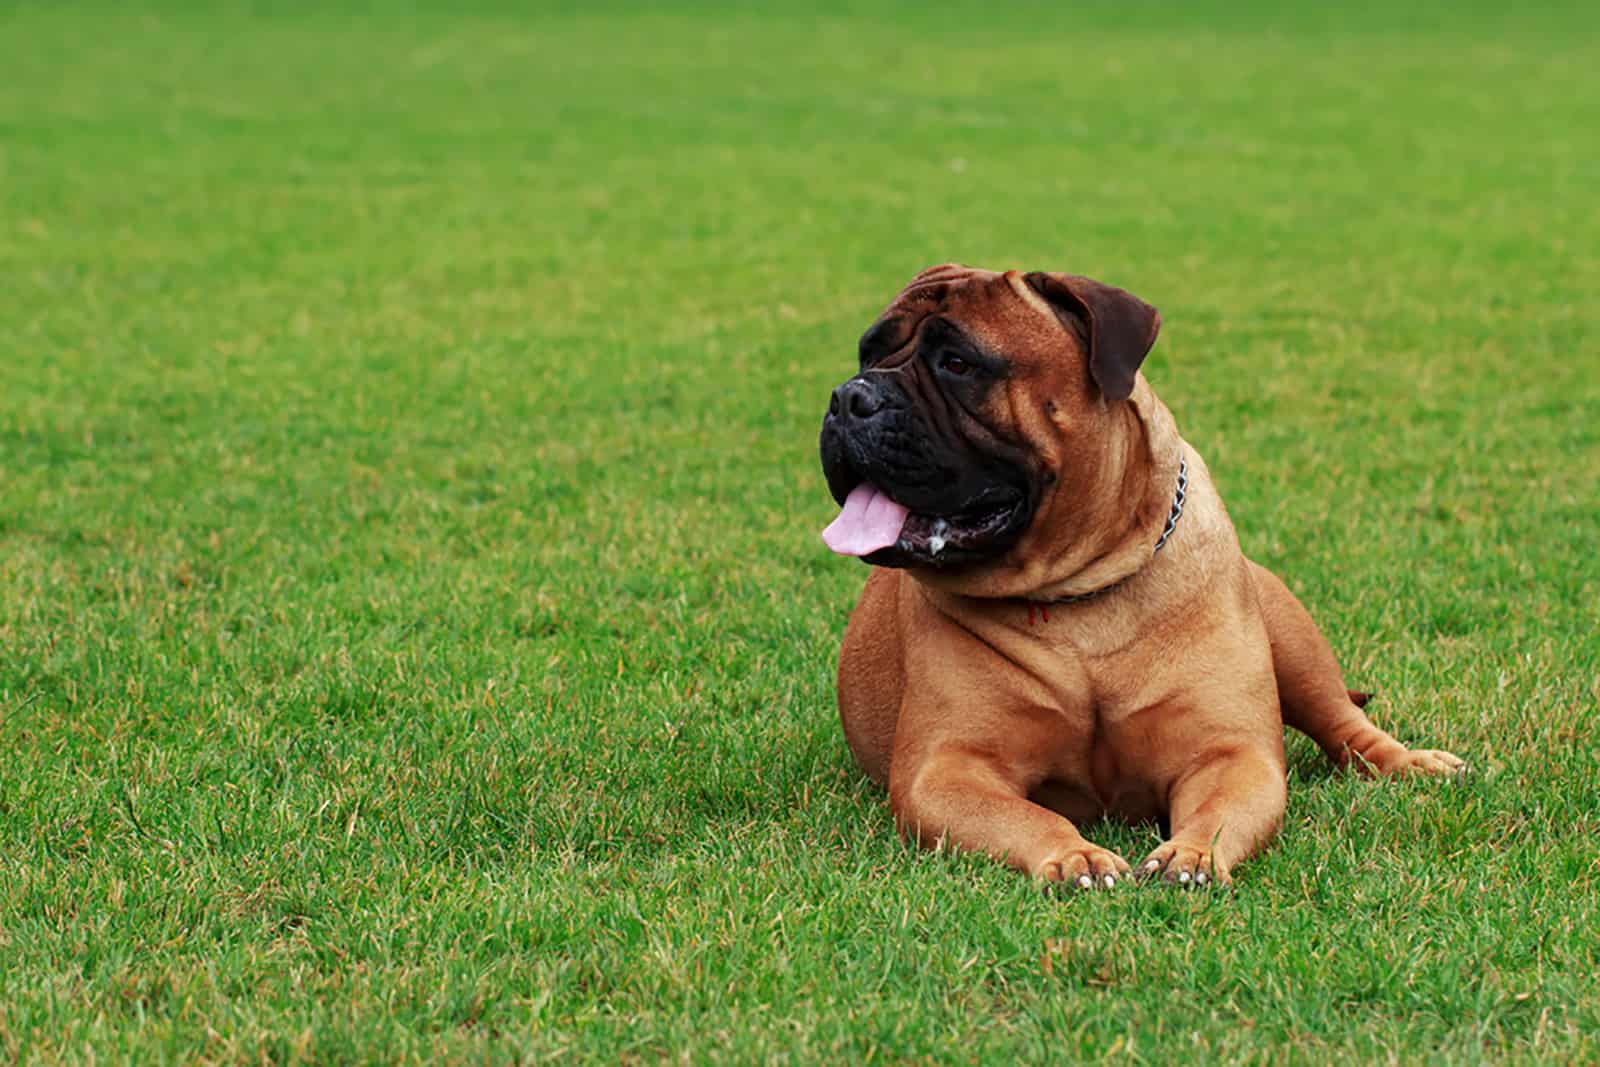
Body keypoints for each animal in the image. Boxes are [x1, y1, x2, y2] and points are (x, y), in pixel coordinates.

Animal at [825, 265, 1465, 883]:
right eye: (865, 355)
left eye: (957, 363)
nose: (847, 397)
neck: (1080, 594)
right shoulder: (946, 770)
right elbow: (1027, 815)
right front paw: (1076, 857)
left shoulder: (1229, 754)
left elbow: (1217, 809)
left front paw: (1192, 855)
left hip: (1293, 636)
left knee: (1345, 722)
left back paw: (1413, 762)